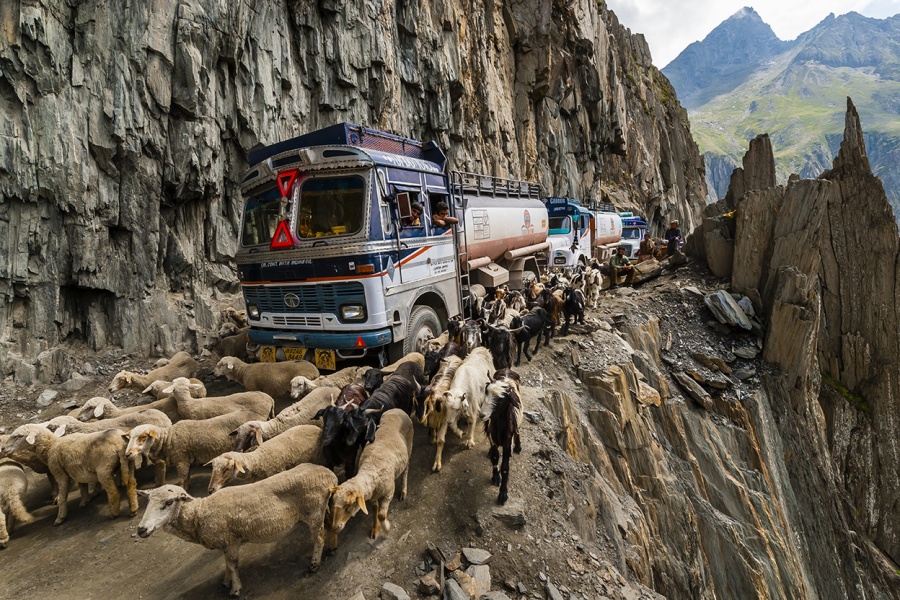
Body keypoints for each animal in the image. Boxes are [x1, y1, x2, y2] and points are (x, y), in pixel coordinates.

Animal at [2, 422, 137, 524]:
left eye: (18, 436)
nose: (3, 448)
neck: (51, 447)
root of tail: (119, 444)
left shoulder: (59, 473)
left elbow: (62, 497)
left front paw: (60, 517)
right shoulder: (77, 471)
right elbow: (82, 487)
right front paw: (85, 501)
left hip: (104, 470)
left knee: (113, 491)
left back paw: (114, 513)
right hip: (129, 462)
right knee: (131, 484)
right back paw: (133, 509)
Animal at [128, 410, 266, 490]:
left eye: (143, 437)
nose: (128, 454)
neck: (167, 439)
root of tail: (261, 417)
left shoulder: (181, 460)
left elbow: (182, 478)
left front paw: (183, 489)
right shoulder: (185, 460)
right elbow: (187, 475)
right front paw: (188, 486)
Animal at [137, 464, 338, 596]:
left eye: (169, 502)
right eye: (149, 501)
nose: (141, 529)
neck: (198, 514)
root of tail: (329, 474)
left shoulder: (230, 541)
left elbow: (232, 564)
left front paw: (235, 589)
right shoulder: (225, 543)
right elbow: (226, 564)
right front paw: (226, 582)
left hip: (314, 511)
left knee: (319, 537)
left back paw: (314, 564)